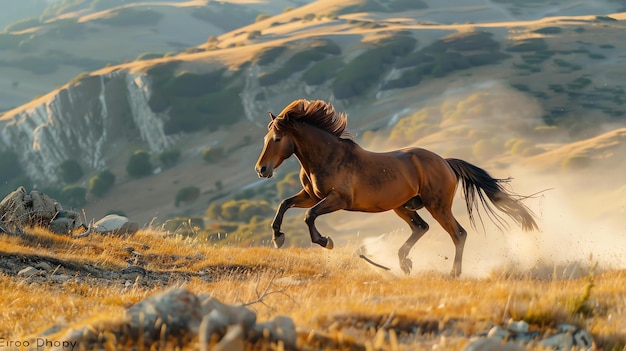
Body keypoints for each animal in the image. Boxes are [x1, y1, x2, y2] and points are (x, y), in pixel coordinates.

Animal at [254, 99, 536, 278]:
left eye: (277, 139)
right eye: (265, 138)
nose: (261, 169)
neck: (328, 156)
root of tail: (445, 162)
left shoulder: (339, 199)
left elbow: (308, 215)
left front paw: (326, 242)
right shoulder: (311, 195)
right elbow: (285, 204)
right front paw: (278, 237)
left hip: (437, 205)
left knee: (458, 233)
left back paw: (452, 273)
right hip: (402, 206)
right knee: (421, 227)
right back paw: (404, 261)